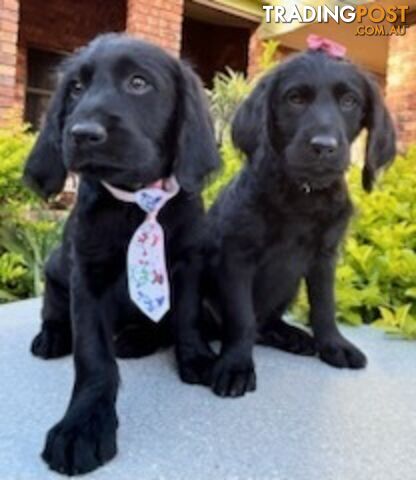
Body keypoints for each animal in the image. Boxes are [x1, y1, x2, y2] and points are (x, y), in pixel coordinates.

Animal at [23, 34, 219, 476]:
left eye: (138, 83)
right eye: (75, 88)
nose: (82, 133)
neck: (137, 202)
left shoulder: (188, 263)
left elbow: (187, 317)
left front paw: (196, 357)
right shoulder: (87, 277)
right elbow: (94, 357)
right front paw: (83, 427)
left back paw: (137, 338)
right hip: (55, 268)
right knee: (53, 309)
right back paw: (52, 336)